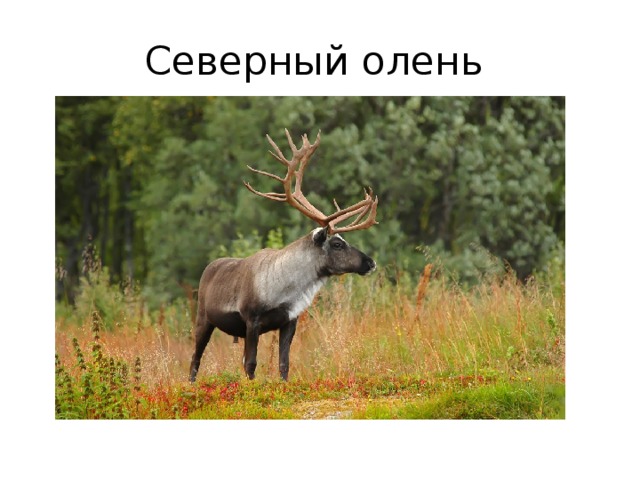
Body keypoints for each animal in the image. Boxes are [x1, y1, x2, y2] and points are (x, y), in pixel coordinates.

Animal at [189, 129, 378, 382]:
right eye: (337, 244)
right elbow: (251, 364)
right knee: (195, 359)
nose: (370, 262)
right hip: (203, 318)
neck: (286, 290)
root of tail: (208, 268)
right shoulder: (252, 320)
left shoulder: (289, 321)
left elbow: (283, 364)